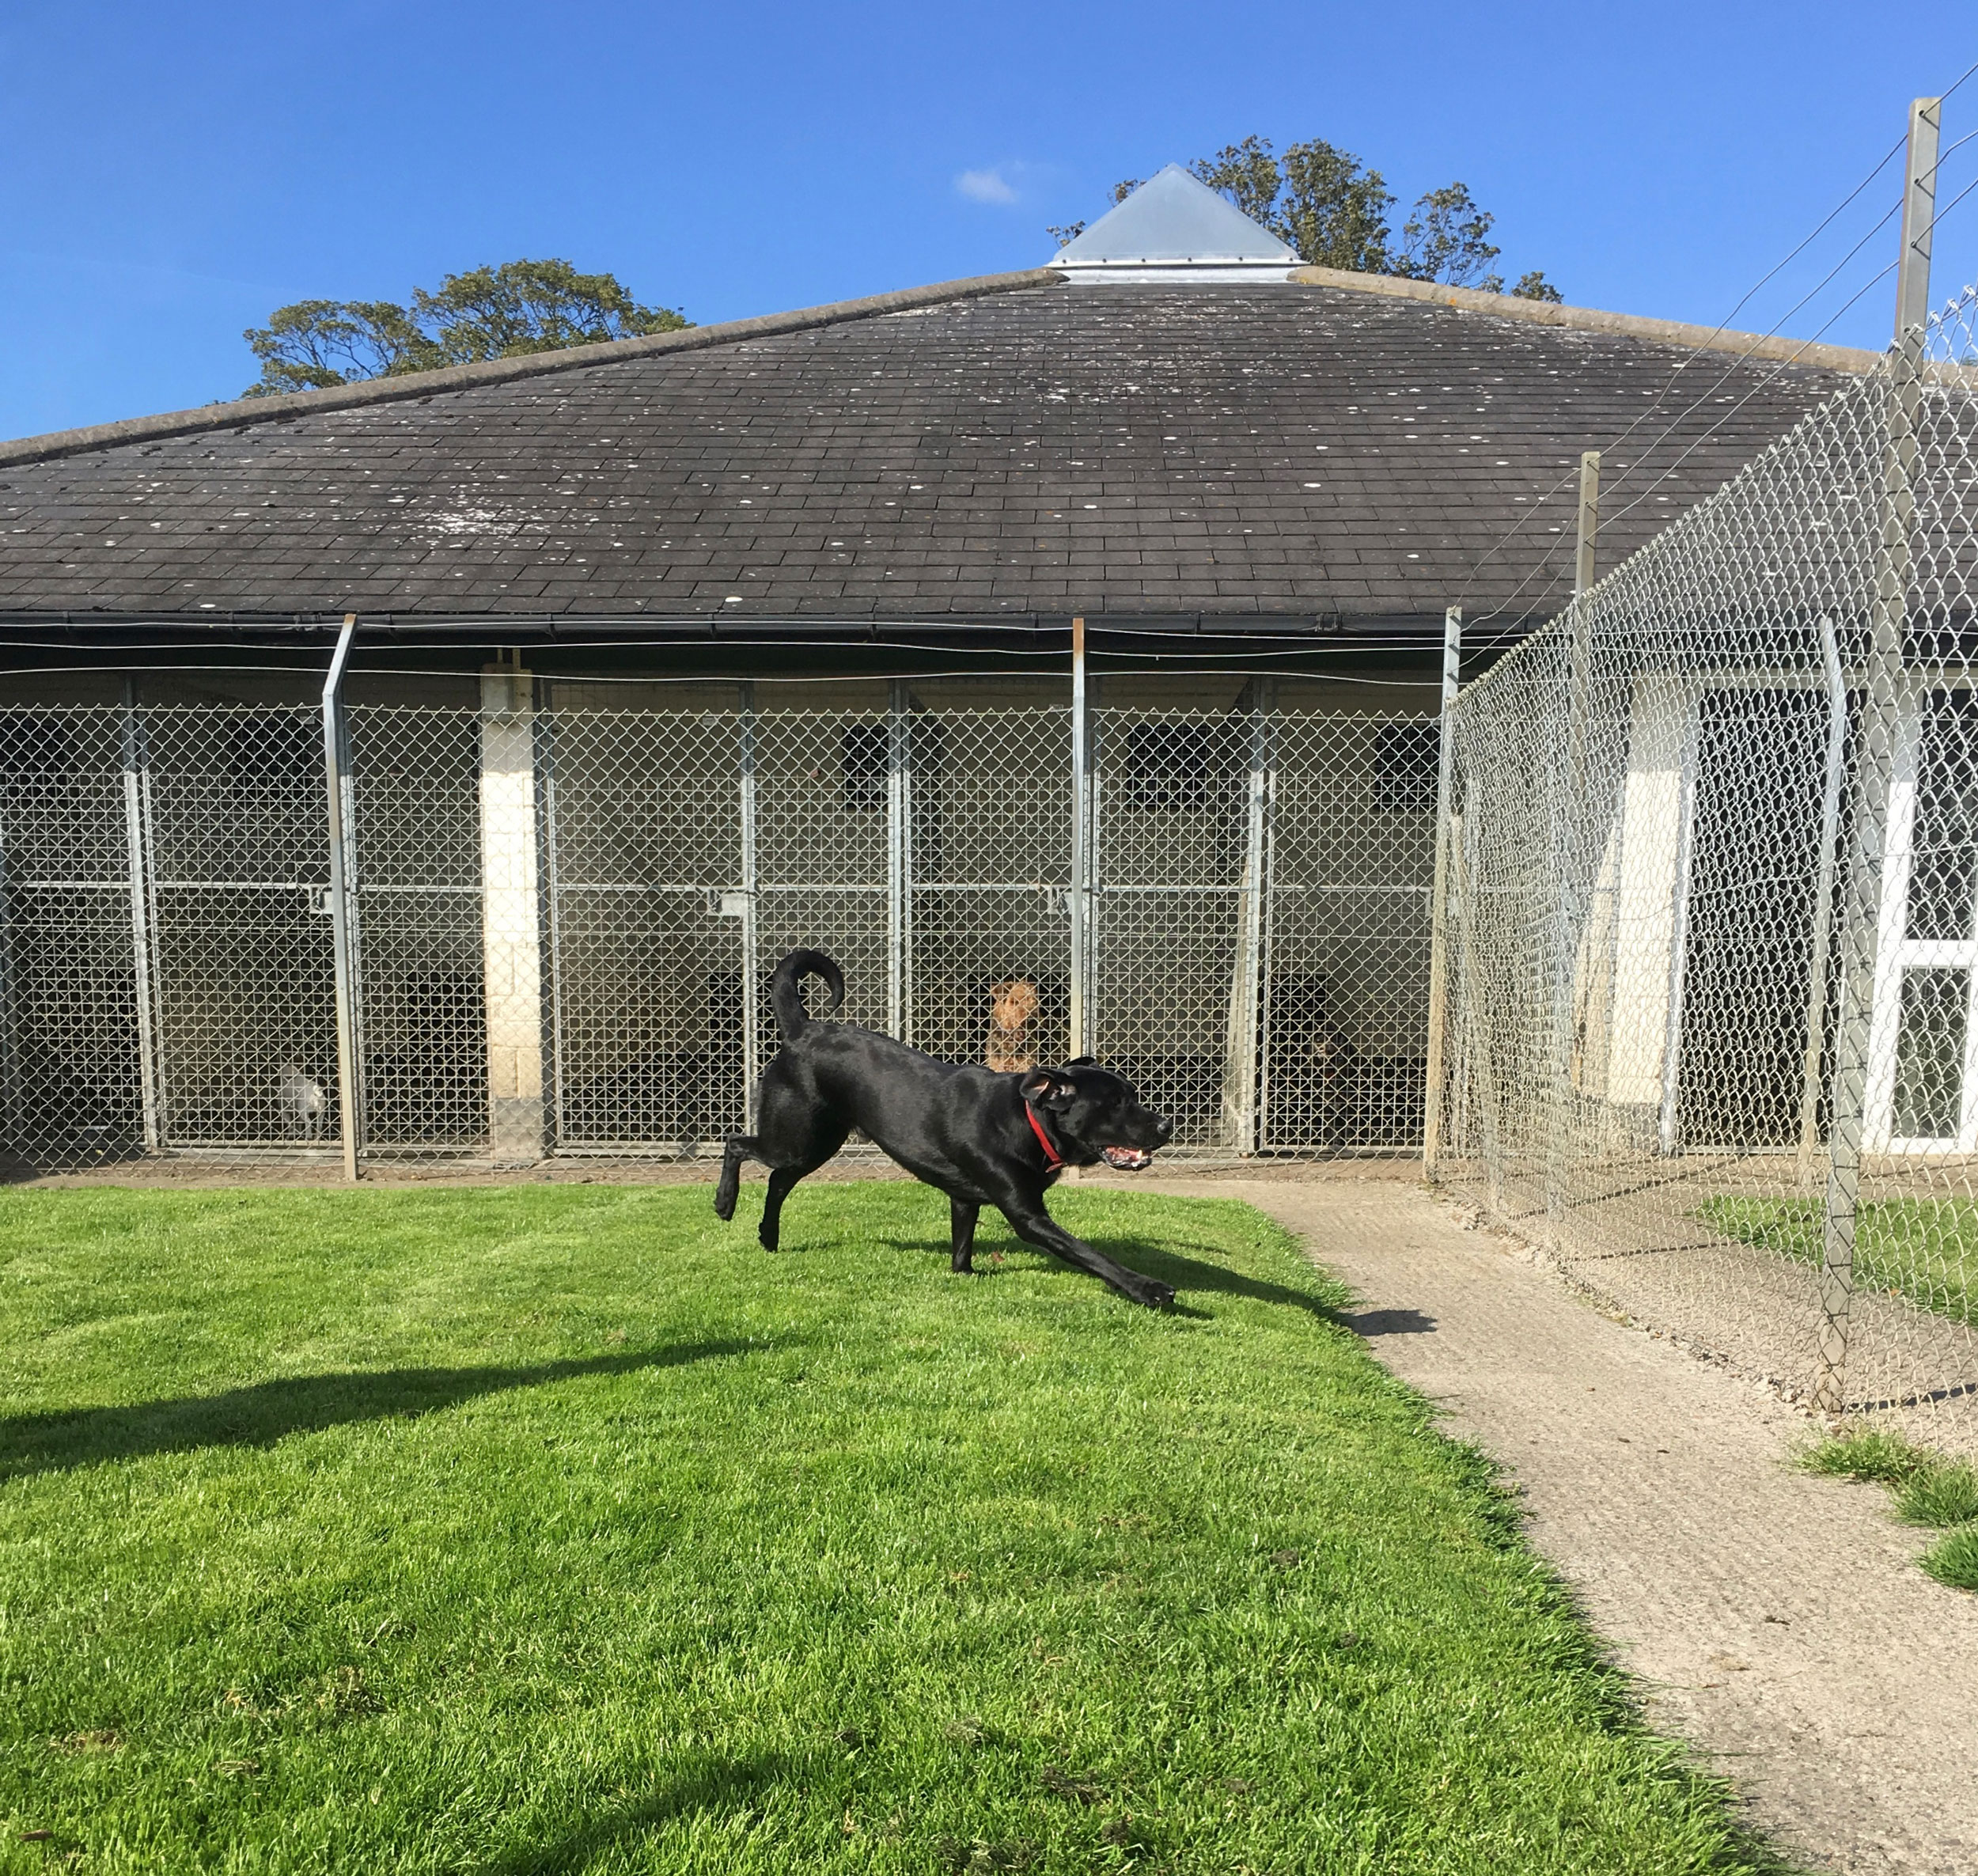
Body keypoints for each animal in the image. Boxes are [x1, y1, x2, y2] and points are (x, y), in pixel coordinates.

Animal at [712, 953, 1171, 1306]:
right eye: (1116, 1103)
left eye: (1133, 1094)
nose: (1167, 1125)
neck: (1025, 1121)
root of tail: (801, 1029)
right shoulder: (1028, 1216)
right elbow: (1090, 1254)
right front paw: (1148, 1288)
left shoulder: (965, 1200)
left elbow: (962, 1248)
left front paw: (964, 1274)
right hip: (796, 1136)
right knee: (738, 1144)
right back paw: (724, 1203)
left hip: (816, 1144)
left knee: (778, 1180)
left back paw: (768, 1237)